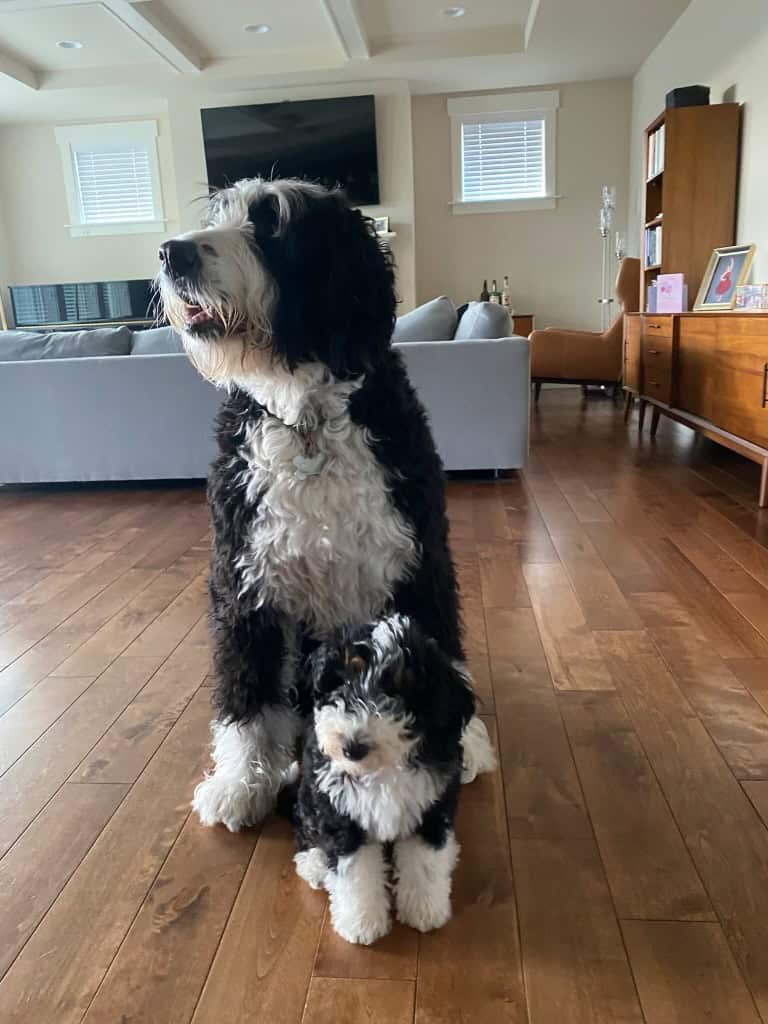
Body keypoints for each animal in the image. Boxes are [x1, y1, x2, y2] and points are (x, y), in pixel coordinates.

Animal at [156, 178, 495, 831]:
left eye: (272, 224)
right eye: (219, 213)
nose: (170, 253)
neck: (306, 418)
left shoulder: (418, 558)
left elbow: (437, 644)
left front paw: (458, 739)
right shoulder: (243, 578)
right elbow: (247, 686)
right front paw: (242, 779)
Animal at [292, 614, 475, 942]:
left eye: (397, 691)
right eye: (343, 682)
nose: (352, 748)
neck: (382, 767)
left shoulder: (431, 807)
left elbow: (425, 860)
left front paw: (425, 910)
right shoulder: (341, 815)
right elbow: (355, 871)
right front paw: (361, 924)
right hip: (309, 795)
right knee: (304, 825)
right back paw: (314, 864)